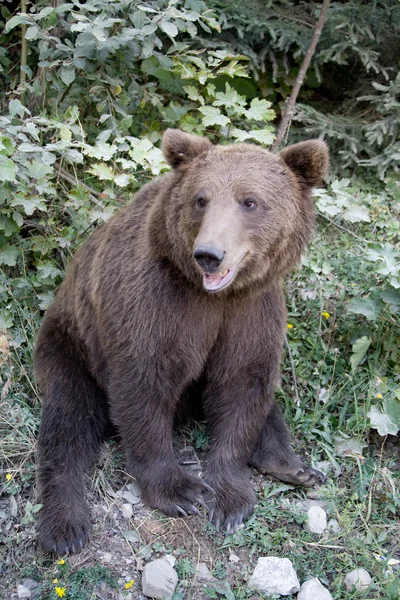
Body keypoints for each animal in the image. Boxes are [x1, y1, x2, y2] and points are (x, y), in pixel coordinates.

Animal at [34, 129, 328, 556]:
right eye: (201, 199)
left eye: (250, 201)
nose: (209, 254)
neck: (215, 295)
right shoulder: (159, 305)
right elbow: (144, 386)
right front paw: (181, 491)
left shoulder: (251, 311)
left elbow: (243, 385)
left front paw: (230, 498)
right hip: (69, 346)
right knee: (67, 423)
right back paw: (65, 526)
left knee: (267, 404)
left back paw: (294, 467)